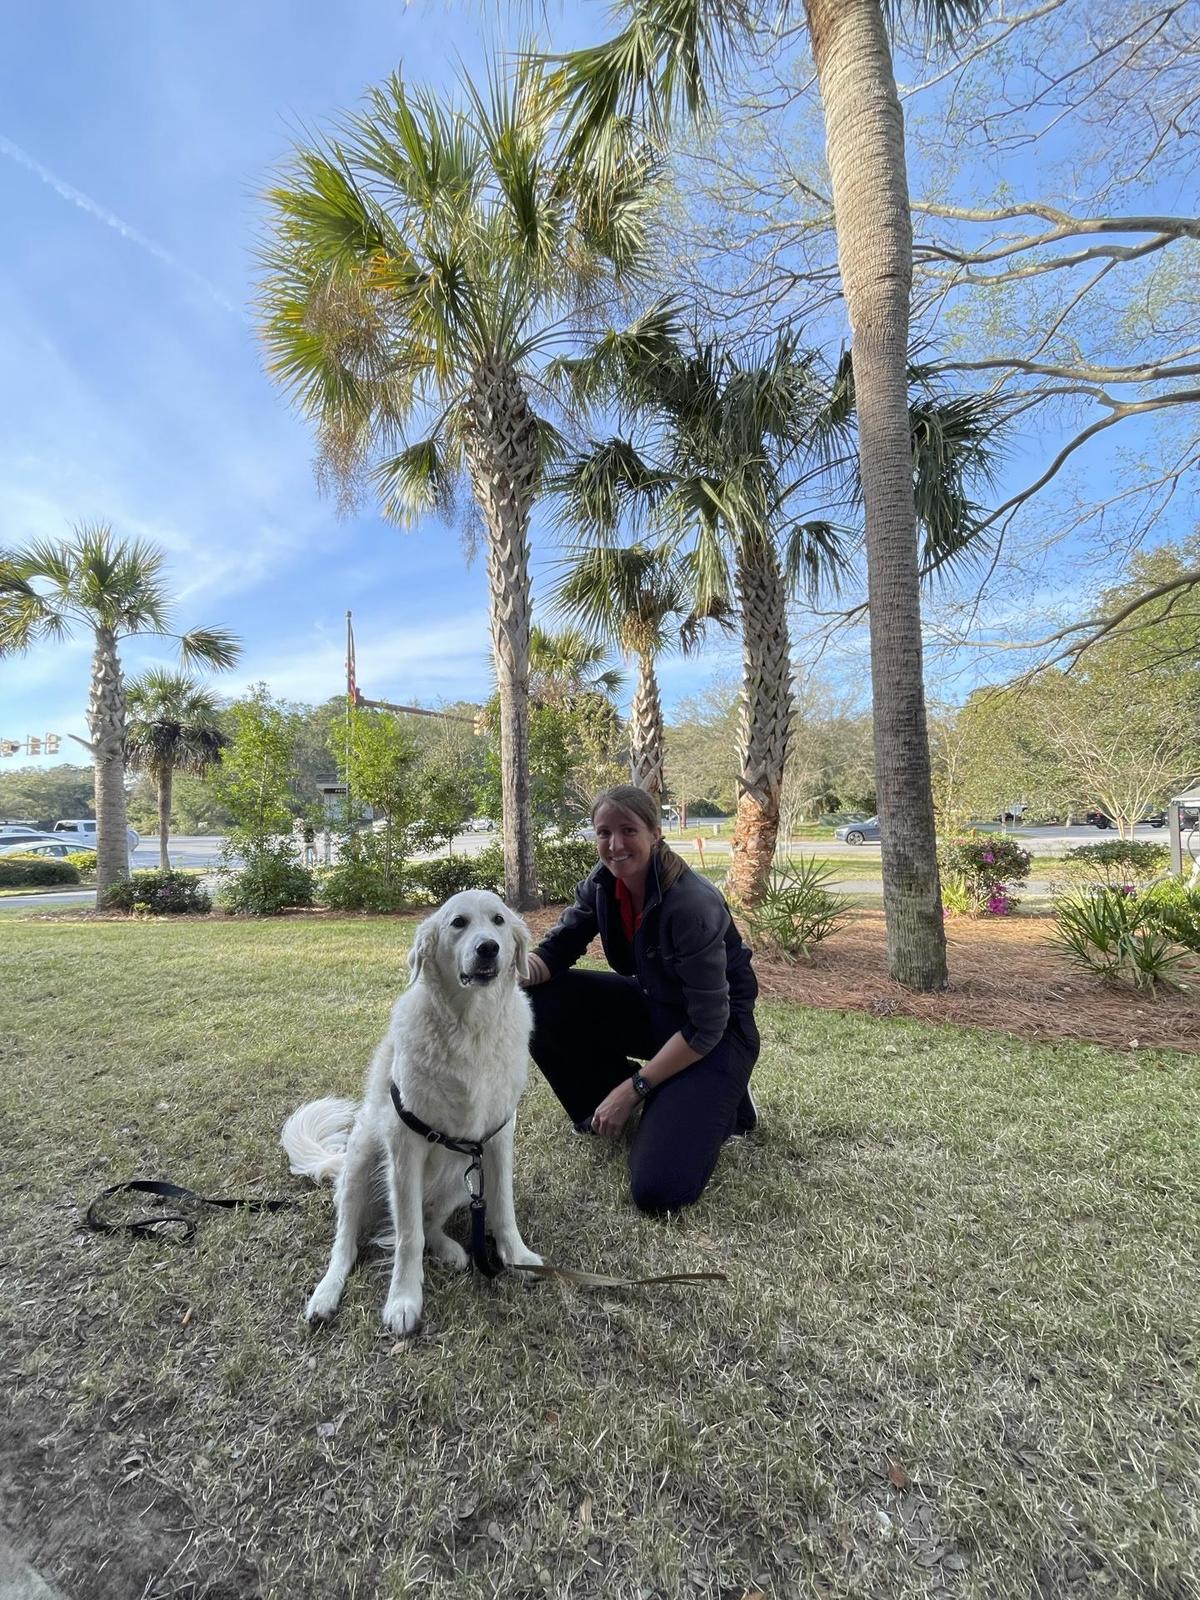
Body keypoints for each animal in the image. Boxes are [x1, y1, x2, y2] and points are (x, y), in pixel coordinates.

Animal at [280, 889, 544, 1337]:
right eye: (458, 923)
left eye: (498, 921)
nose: (488, 948)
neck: (471, 1029)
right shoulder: (406, 1148)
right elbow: (407, 1237)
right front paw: (404, 1300)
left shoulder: (496, 1139)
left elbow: (503, 1208)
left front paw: (518, 1256)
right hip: (360, 1166)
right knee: (347, 1247)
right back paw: (326, 1295)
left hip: (462, 1178)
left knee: (431, 1222)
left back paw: (450, 1249)